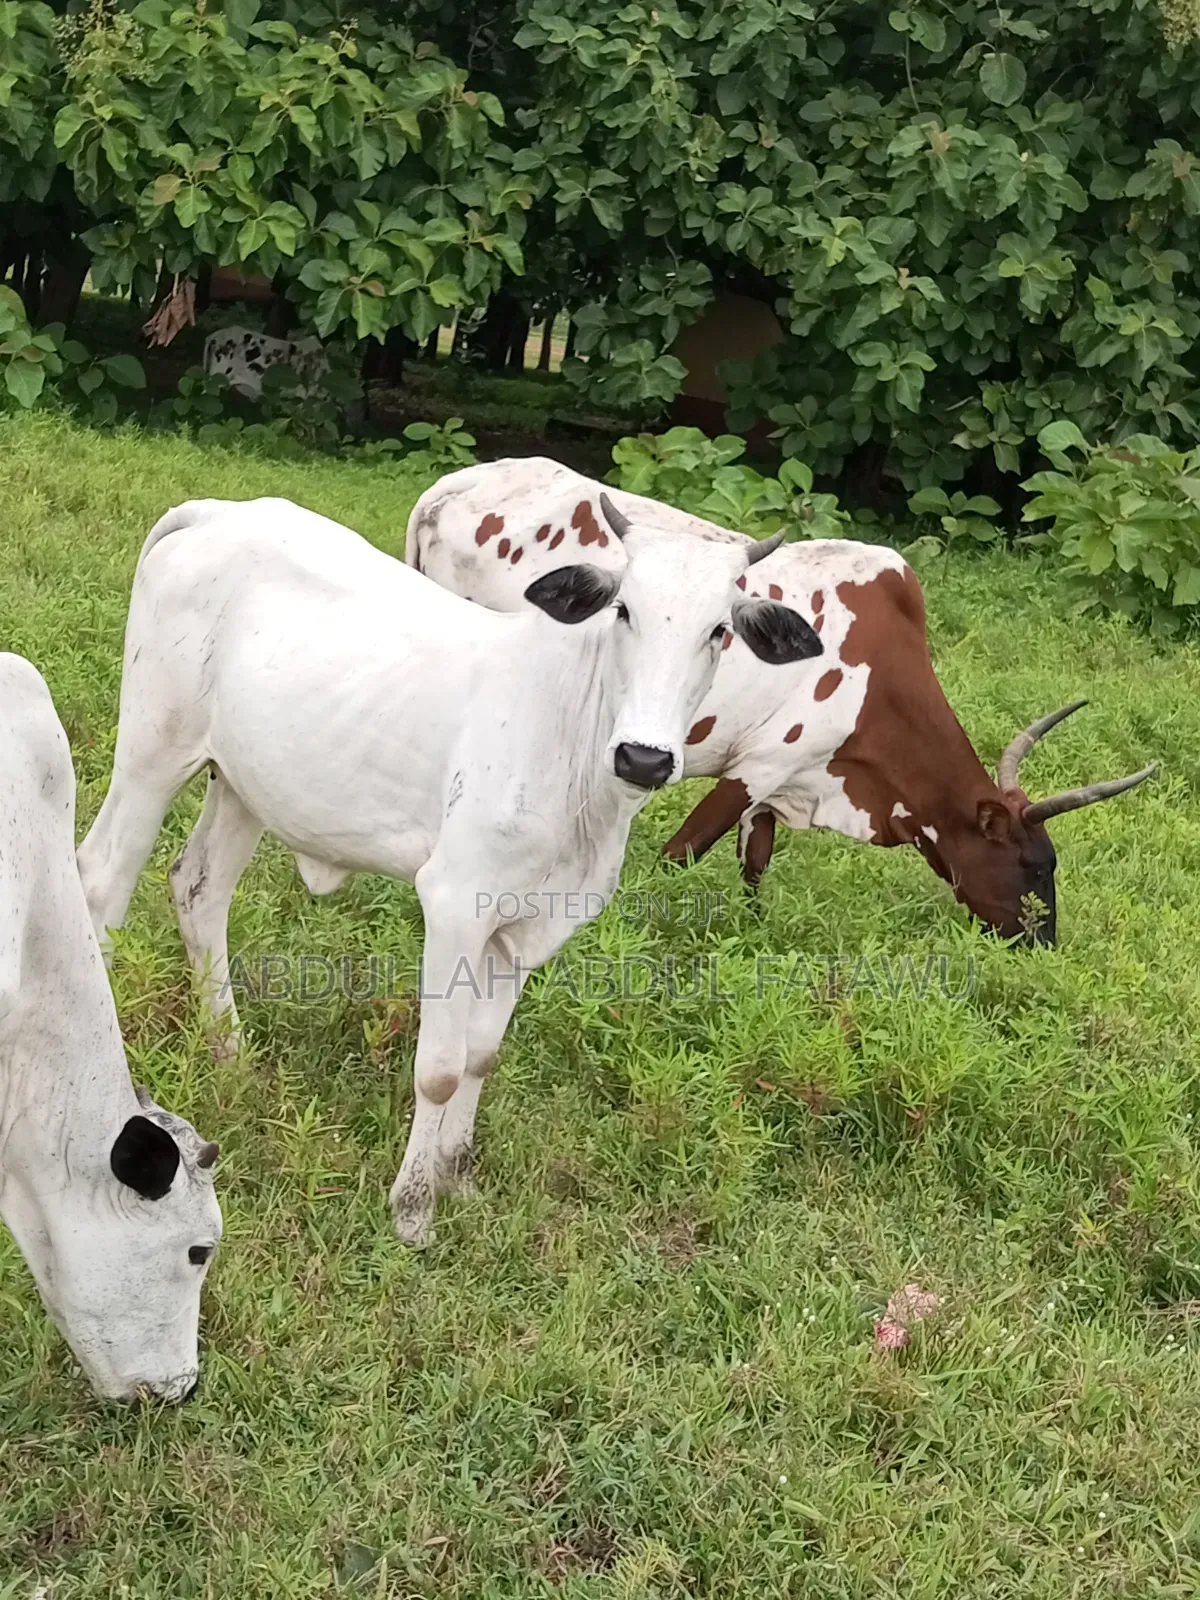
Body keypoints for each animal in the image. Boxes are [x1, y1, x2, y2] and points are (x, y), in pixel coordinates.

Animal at [75, 490, 822, 1246]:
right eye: (623, 611)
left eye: (719, 632)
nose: (644, 758)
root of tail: (217, 510)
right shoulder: (456, 901)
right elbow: (438, 1068)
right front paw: (411, 1208)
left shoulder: (531, 925)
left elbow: (479, 1057)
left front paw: (456, 1176)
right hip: (153, 751)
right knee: (100, 882)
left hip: (243, 783)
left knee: (198, 887)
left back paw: (230, 1051)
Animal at [407, 458, 1157, 945]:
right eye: (1037, 864)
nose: (1045, 944)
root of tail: (456, 484)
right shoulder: (758, 766)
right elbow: (682, 853)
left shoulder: (779, 786)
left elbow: (755, 867)